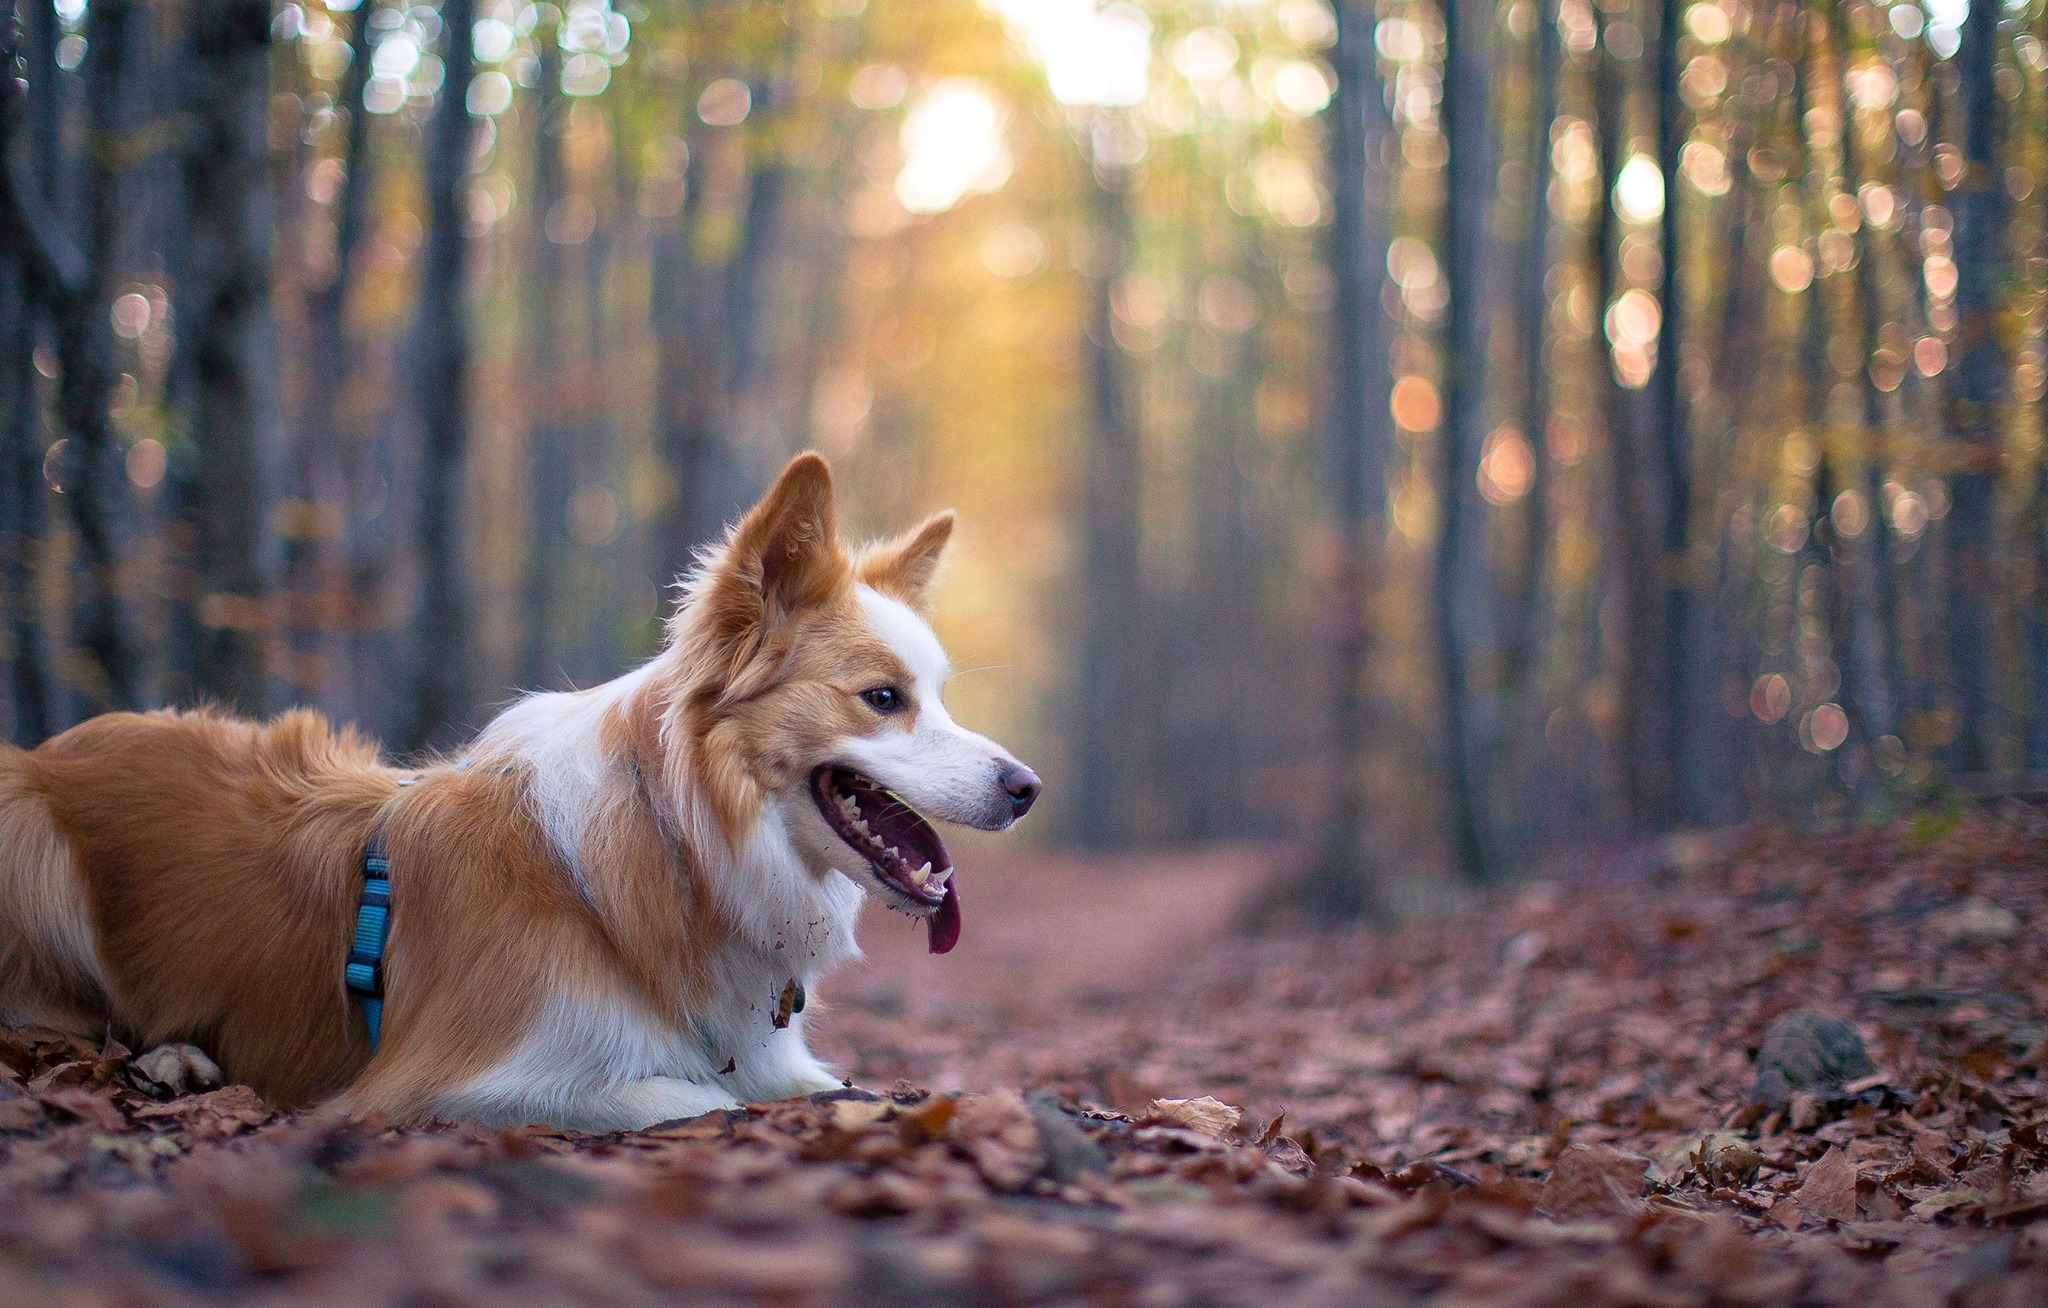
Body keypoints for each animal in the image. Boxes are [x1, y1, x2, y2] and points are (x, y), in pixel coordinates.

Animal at [0, 454, 1040, 1129]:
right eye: (883, 699)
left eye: (938, 693)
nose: (1027, 786)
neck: (674, 848)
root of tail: (55, 749)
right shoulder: (444, 1082)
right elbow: (697, 1101)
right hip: (27, 834)